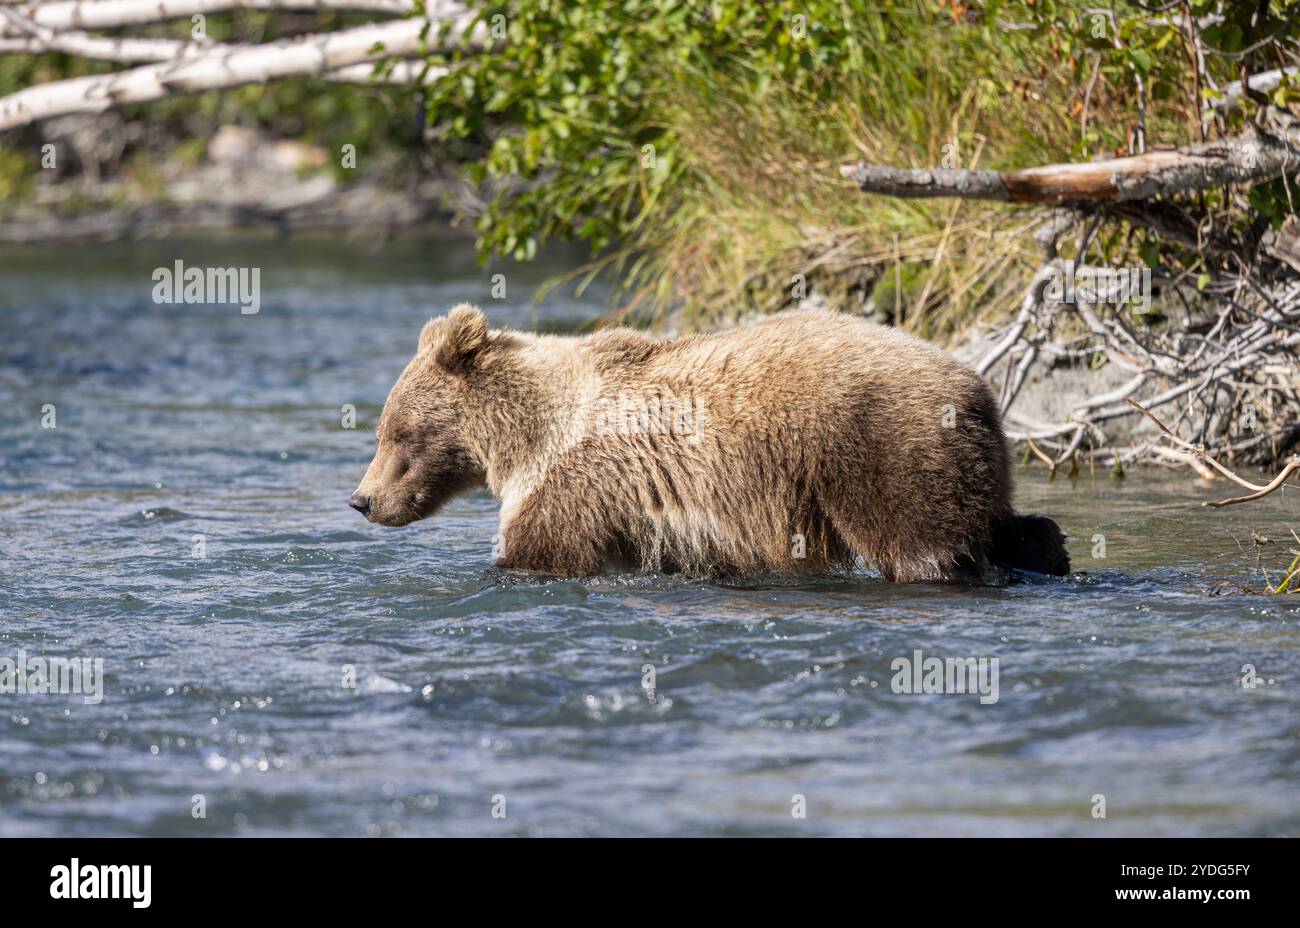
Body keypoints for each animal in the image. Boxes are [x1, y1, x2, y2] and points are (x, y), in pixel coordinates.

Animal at [349, 303, 1070, 582]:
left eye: (397, 433)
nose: (362, 500)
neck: (523, 434)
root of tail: (976, 385)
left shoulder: (574, 485)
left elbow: (541, 549)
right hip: (970, 454)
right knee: (999, 519)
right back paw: (1050, 548)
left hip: (881, 445)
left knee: (923, 540)